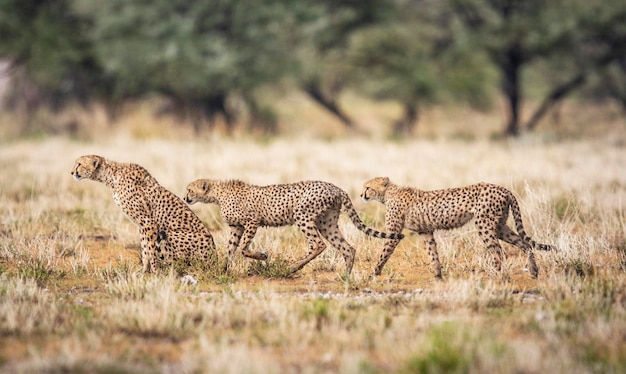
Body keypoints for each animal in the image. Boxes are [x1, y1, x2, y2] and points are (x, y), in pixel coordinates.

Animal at [70, 155, 216, 272]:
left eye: (79, 164)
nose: (71, 172)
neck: (112, 176)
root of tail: (215, 257)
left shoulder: (148, 222)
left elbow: (151, 250)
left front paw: (155, 272)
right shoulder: (142, 225)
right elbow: (145, 248)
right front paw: (144, 270)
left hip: (170, 234)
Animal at [183, 180, 402, 276]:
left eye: (189, 189)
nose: (185, 197)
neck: (217, 193)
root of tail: (336, 187)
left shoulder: (252, 221)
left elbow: (244, 248)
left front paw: (262, 256)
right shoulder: (236, 227)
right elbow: (230, 249)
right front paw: (222, 270)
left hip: (302, 215)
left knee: (318, 245)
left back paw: (292, 268)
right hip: (327, 222)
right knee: (347, 248)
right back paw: (346, 276)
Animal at [358, 177, 552, 280]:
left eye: (367, 187)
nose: (361, 195)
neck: (388, 194)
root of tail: (502, 188)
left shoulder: (393, 234)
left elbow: (383, 254)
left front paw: (373, 273)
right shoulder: (426, 231)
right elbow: (432, 253)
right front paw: (437, 275)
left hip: (485, 225)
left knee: (498, 251)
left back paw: (495, 275)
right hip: (500, 226)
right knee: (525, 244)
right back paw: (534, 272)